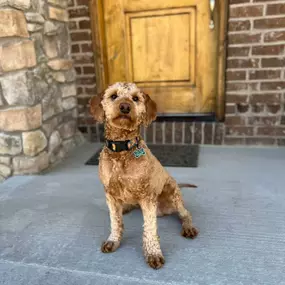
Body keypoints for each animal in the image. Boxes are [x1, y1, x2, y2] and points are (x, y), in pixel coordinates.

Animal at [89, 82, 197, 268]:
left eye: (135, 98)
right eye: (113, 96)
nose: (125, 107)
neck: (122, 150)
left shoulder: (147, 197)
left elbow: (150, 228)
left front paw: (153, 253)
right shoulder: (110, 194)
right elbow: (115, 221)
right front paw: (113, 240)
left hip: (172, 192)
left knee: (185, 213)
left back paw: (188, 227)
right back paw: (126, 207)